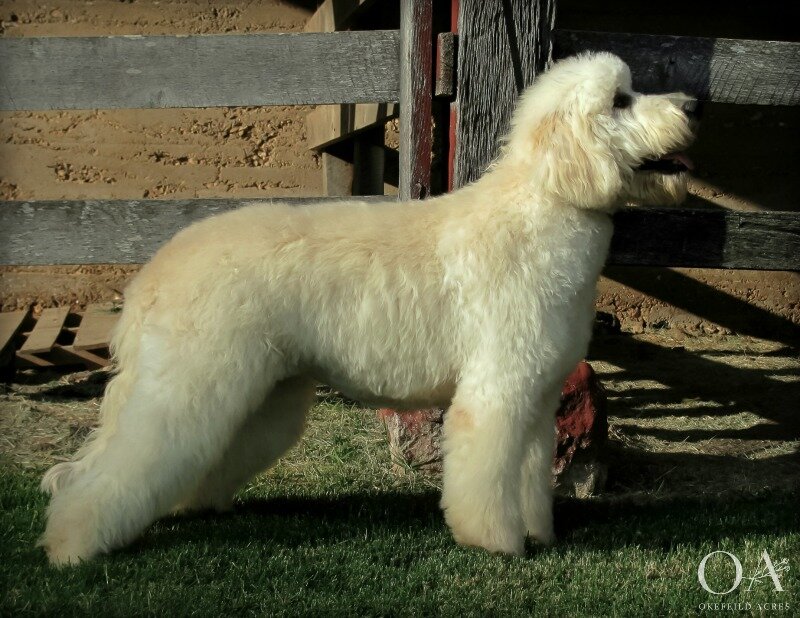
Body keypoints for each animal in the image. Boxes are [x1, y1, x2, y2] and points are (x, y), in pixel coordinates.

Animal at [40, 53, 696, 564]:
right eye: (620, 100)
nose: (692, 106)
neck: (546, 206)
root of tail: (152, 275)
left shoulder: (535, 400)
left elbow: (531, 478)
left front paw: (539, 534)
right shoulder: (496, 393)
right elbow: (486, 478)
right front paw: (496, 542)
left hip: (257, 392)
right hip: (189, 379)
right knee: (119, 468)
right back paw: (70, 545)